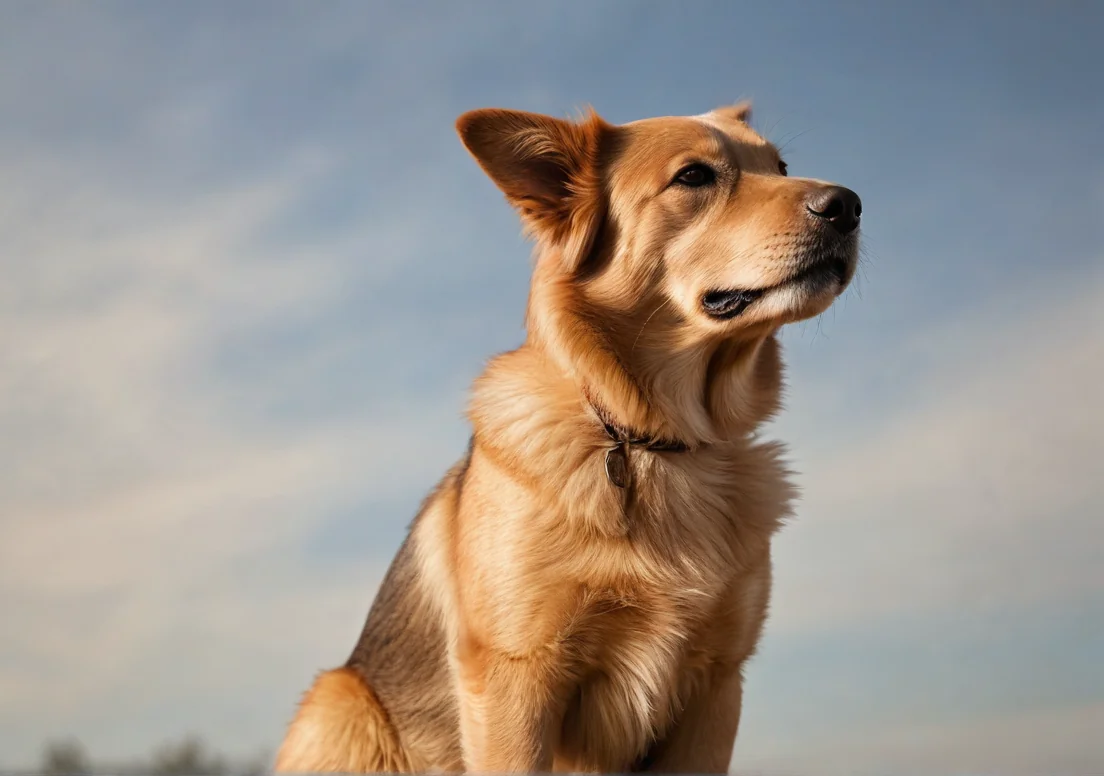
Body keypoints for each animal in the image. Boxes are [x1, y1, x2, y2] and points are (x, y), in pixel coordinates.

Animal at [276, 100, 861, 772]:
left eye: (781, 166)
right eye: (693, 176)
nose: (849, 205)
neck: (649, 441)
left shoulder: (716, 686)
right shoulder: (517, 679)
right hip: (339, 701)